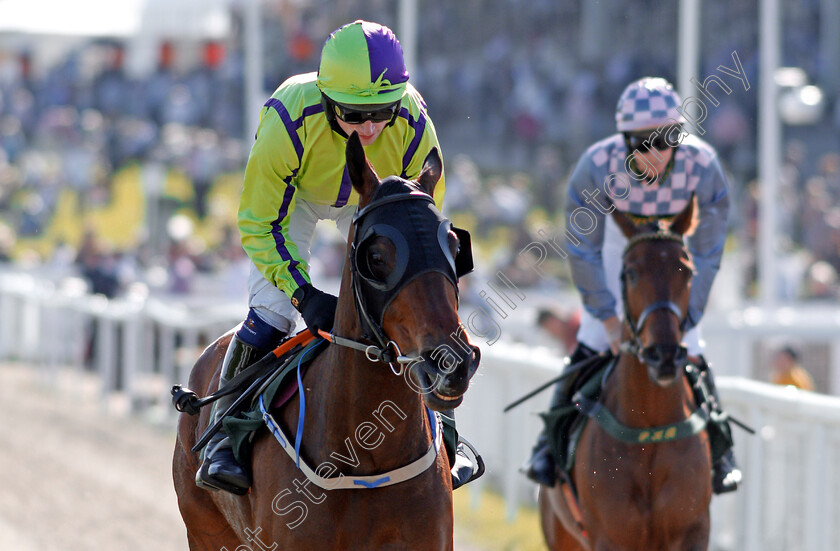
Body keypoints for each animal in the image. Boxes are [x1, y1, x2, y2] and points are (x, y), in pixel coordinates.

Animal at [172, 134, 480, 551]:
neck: (370, 454)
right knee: (266, 315)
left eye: (454, 247)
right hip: (206, 529)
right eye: (376, 256)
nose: (451, 361)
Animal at [540, 197, 712, 551]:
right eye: (631, 273)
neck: (650, 428)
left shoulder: (693, 529)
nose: (664, 355)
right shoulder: (609, 536)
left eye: (687, 271)